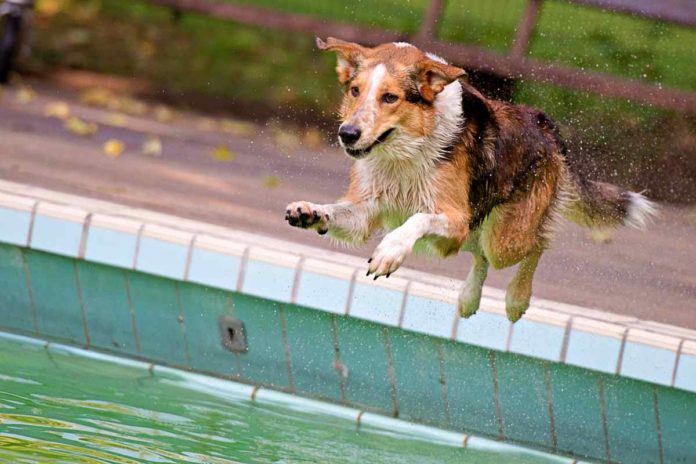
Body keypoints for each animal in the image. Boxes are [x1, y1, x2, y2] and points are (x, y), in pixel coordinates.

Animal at [284, 38, 656, 322]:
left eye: (390, 97)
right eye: (355, 91)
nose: (347, 134)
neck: (403, 155)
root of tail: (544, 123)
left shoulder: (455, 217)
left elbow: (417, 219)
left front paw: (391, 250)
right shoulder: (366, 212)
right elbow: (338, 213)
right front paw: (309, 212)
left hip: (505, 236)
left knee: (536, 244)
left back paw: (516, 299)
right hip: (476, 229)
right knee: (481, 255)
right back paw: (469, 297)